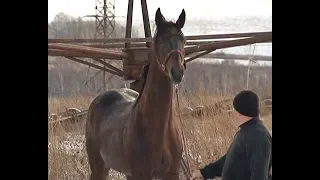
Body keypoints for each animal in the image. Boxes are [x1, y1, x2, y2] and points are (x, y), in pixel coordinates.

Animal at [86, 7, 188, 180]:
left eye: (183, 40)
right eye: (160, 41)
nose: (177, 73)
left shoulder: (172, 174)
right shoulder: (141, 174)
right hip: (99, 168)